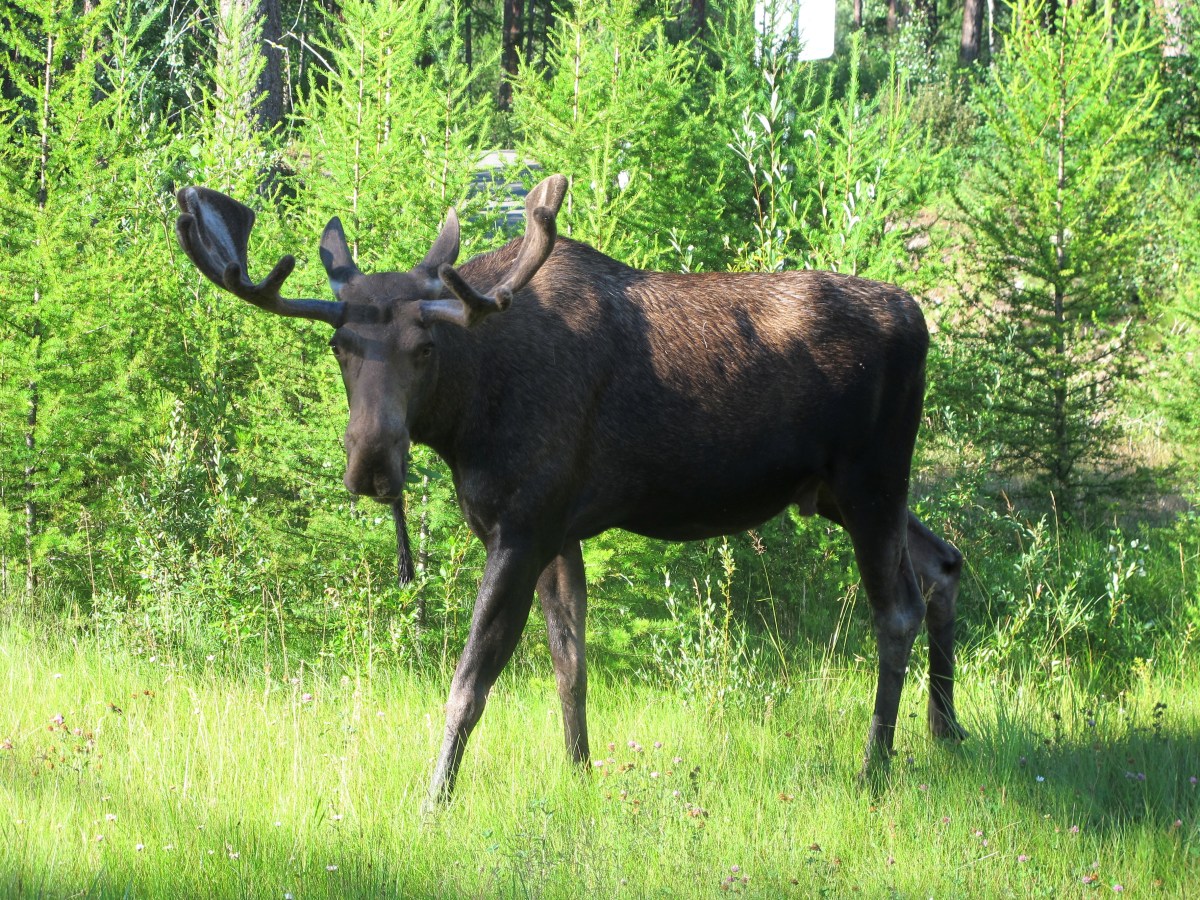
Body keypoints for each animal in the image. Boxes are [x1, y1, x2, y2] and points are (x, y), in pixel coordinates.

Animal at [174, 173, 966, 809]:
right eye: (340, 346)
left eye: (425, 349)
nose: (371, 461)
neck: (468, 415)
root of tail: (920, 319)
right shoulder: (558, 530)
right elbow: (570, 663)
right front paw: (580, 773)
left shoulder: (524, 525)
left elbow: (471, 681)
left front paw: (435, 799)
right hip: (838, 492)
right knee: (943, 562)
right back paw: (946, 729)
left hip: (871, 480)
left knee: (895, 608)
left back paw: (875, 766)